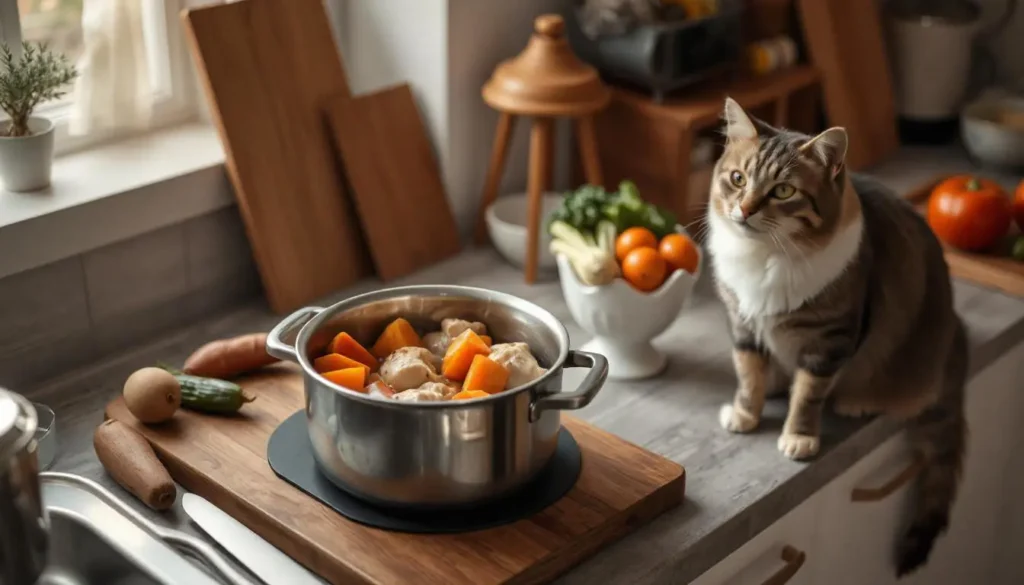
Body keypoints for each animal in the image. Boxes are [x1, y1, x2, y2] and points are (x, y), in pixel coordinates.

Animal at [704, 98, 966, 577]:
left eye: (783, 191)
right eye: (737, 179)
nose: (745, 210)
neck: (765, 256)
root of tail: (956, 334)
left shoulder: (830, 341)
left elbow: (808, 394)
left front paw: (799, 437)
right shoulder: (742, 324)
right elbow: (748, 373)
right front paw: (745, 412)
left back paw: (855, 402)